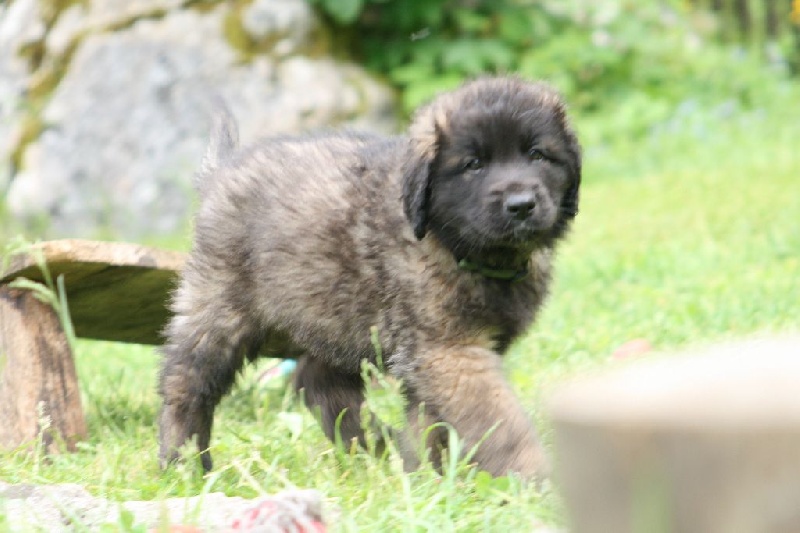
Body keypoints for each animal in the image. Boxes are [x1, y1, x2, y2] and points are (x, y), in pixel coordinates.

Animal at [158, 76, 582, 480]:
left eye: (537, 155)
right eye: (474, 164)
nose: (521, 205)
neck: (457, 248)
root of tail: (222, 171)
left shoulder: (431, 357)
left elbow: (430, 421)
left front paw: (425, 476)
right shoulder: (450, 351)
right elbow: (497, 421)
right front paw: (533, 477)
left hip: (329, 313)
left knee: (318, 382)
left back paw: (374, 447)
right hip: (220, 310)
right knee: (185, 383)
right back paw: (183, 464)